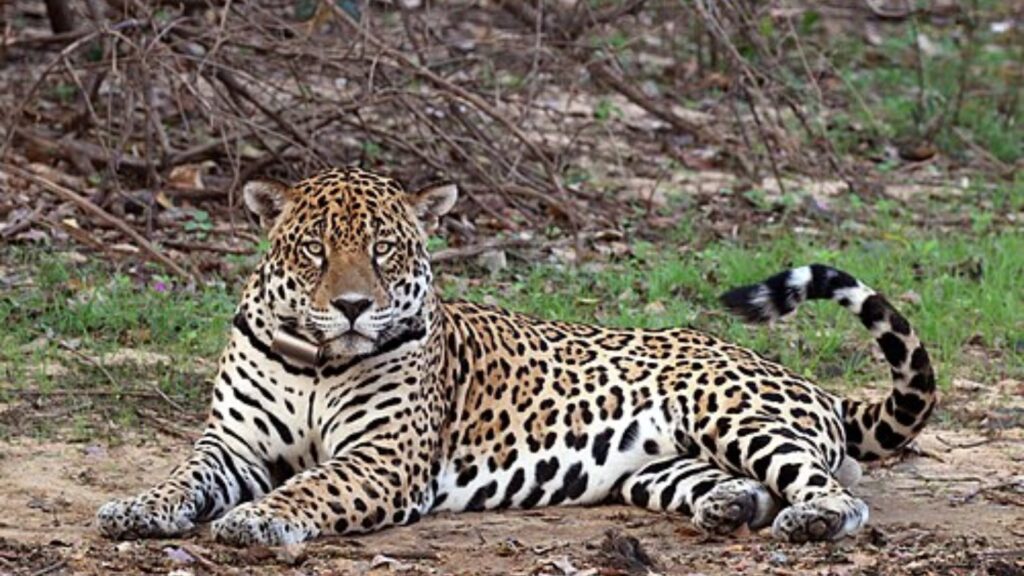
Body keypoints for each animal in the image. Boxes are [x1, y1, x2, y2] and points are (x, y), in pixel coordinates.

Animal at [96, 167, 936, 546]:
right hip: (660, 466)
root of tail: (809, 384)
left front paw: (256, 518)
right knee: (748, 485)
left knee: (836, 491)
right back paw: (730, 506)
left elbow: (310, 486)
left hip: (732, 413)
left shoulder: (381, 461)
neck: (317, 359)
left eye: (384, 250)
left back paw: (808, 522)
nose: (353, 306)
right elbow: (183, 473)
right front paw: (136, 507)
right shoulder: (232, 444)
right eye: (314, 251)